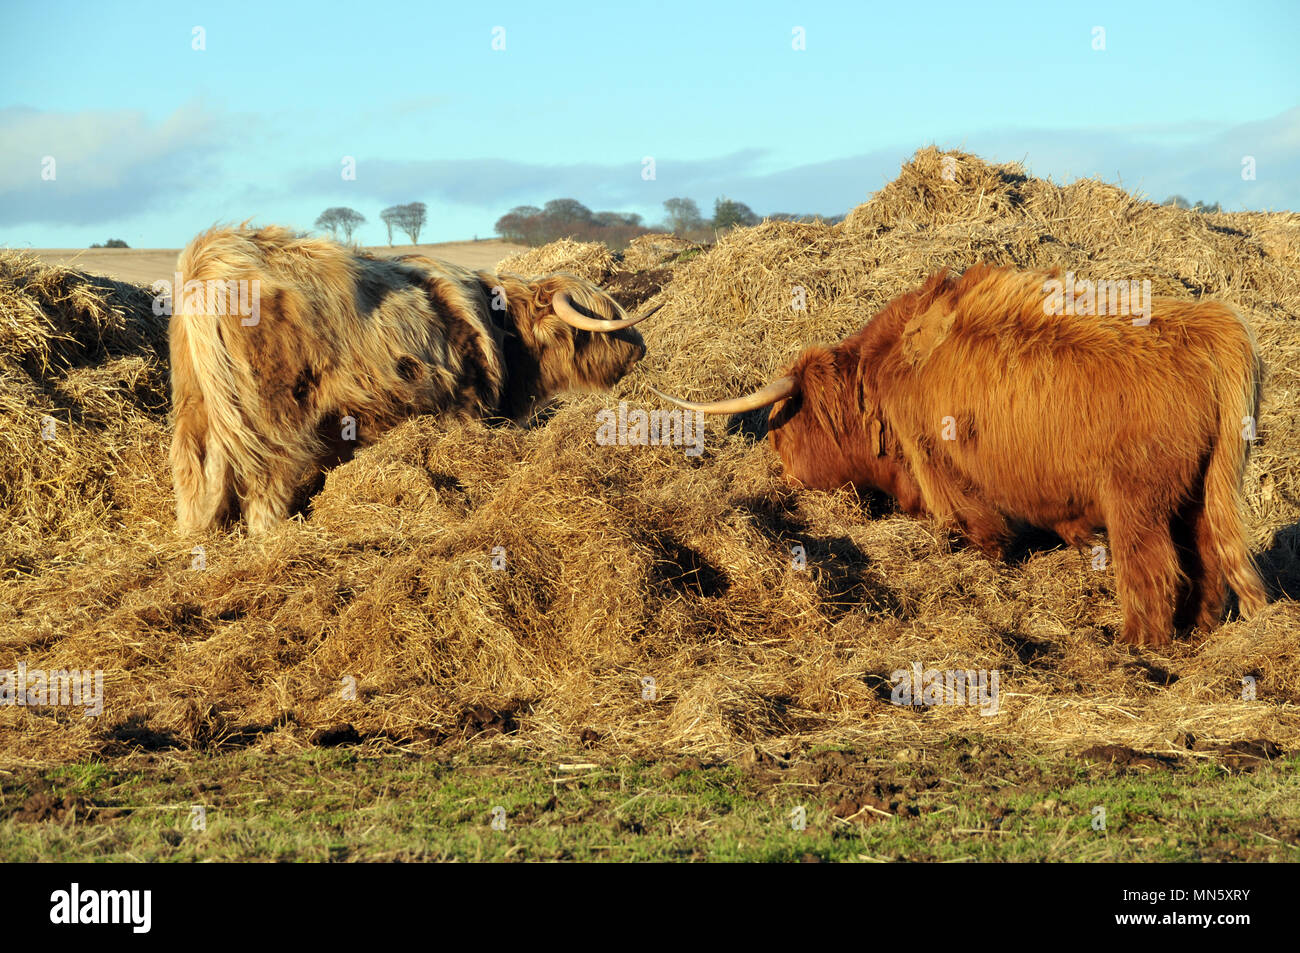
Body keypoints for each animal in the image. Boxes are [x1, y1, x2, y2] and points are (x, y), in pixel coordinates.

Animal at [169, 225, 655, 535]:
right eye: (598, 328)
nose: (641, 348)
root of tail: (213, 256)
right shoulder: (464, 406)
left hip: (197, 407)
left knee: (196, 477)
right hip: (271, 416)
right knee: (265, 486)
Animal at [651, 264, 1268, 647]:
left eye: (783, 432)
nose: (781, 472)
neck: (882, 375)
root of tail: (1211, 328)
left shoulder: (942, 471)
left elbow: (980, 532)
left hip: (1136, 499)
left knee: (1153, 567)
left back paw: (1139, 642)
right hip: (1202, 491)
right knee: (1208, 558)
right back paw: (1201, 629)